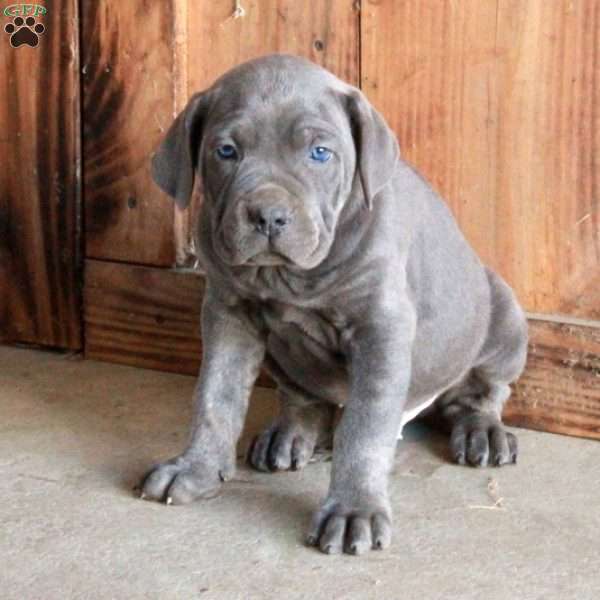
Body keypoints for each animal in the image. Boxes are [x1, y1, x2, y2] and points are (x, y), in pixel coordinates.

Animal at [138, 54, 528, 556]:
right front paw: (195, 469)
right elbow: (214, 395)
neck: (290, 277)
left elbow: (365, 427)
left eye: (320, 153)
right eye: (225, 151)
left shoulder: (380, 328)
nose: (268, 216)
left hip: (504, 316)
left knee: (481, 392)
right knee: (304, 398)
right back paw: (289, 434)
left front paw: (352, 511)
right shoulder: (228, 312)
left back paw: (483, 431)